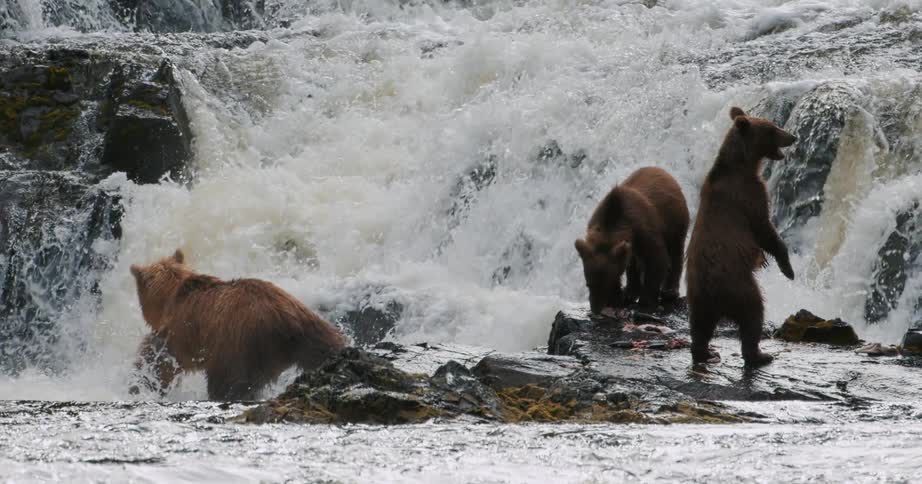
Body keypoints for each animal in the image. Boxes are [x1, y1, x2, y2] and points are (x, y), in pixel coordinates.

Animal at [129, 249, 346, 400]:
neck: (171, 297)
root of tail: (285, 319)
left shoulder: (181, 331)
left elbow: (160, 359)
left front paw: (141, 382)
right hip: (309, 326)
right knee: (326, 346)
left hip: (240, 343)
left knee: (227, 382)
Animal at [575, 166, 690, 314]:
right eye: (588, 284)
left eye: (606, 283)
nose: (596, 309)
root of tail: (662, 171)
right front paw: (620, 297)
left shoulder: (645, 230)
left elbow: (657, 260)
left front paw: (646, 300)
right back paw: (631, 291)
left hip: (675, 220)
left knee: (676, 251)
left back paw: (670, 291)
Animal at [685, 106, 797, 368]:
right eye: (772, 129)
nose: (792, 137)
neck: (742, 165)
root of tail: (713, 294)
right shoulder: (749, 195)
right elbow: (765, 230)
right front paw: (787, 269)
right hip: (739, 285)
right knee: (753, 315)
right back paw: (759, 355)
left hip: (699, 299)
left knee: (700, 327)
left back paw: (705, 352)